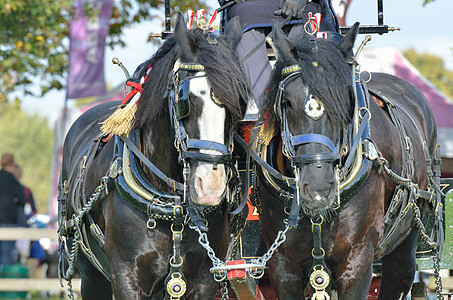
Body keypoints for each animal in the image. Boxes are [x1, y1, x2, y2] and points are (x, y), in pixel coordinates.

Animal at [57, 14, 251, 300]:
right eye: (185, 99)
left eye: (240, 102)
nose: (211, 187)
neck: (174, 209)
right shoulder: (127, 278)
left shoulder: (204, 279)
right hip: (91, 274)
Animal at [254, 22, 442, 298]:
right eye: (287, 102)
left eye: (345, 100)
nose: (319, 188)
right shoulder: (282, 265)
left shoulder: (358, 262)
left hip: (408, 238)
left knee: (400, 274)